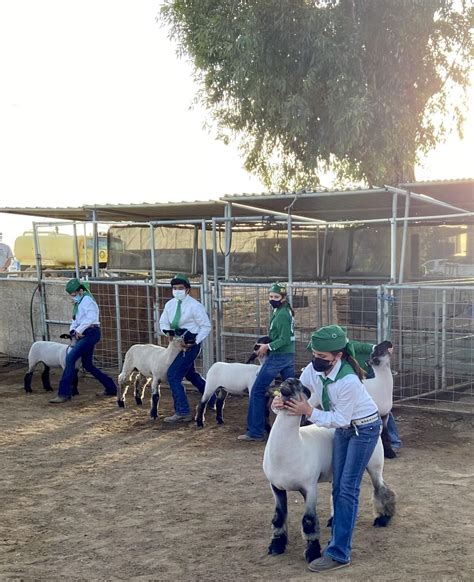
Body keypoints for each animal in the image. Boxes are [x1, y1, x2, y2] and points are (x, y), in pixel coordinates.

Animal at [262, 378, 396, 564]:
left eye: (302, 387)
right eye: (288, 382)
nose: (288, 382)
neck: (294, 445)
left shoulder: (309, 487)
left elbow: (308, 521)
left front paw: (312, 553)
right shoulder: (276, 486)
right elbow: (278, 518)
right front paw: (276, 547)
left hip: (374, 462)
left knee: (381, 488)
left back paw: (383, 519)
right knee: (337, 494)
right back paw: (334, 521)